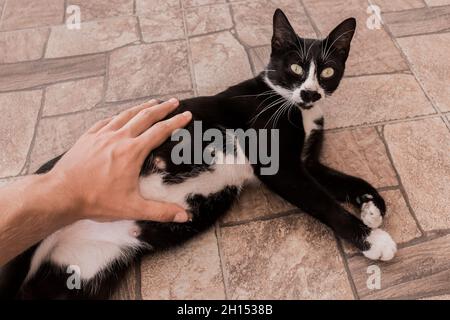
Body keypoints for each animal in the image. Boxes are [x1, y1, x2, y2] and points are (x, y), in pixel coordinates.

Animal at [0, 10, 396, 300]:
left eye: (327, 70)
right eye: (296, 68)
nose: (311, 93)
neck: (295, 108)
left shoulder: (306, 162)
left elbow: (345, 180)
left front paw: (373, 208)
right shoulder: (280, 166)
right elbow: (324, 202)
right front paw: (373, 240)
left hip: (78, 280)